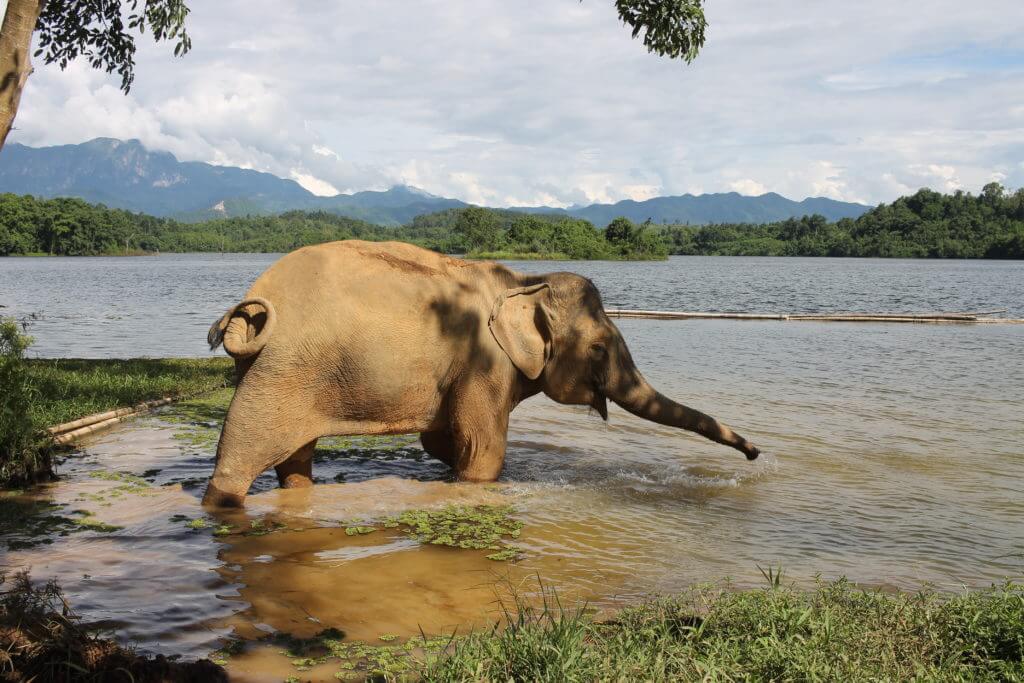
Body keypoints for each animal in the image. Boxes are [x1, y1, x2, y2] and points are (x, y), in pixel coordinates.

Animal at [201, 241, 761, 507]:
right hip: (281, 370)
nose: (755, 453)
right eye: (600, 348)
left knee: (294, 458)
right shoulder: (483, 362)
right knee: (241, 454)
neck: (524, 280)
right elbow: (483, 451)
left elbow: (444, 442)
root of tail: (249, 303)